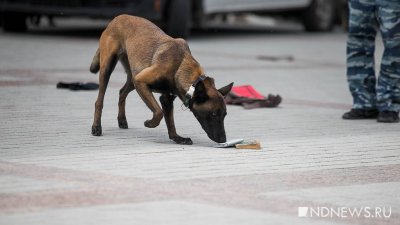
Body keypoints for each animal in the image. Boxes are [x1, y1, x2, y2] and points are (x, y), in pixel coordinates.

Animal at [90, 14, 233, 144]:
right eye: (213, 114)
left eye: (225, 114)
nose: (223, 139)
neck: (180, 65)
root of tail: (118, 18)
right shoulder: (141, 82)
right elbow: (159, 112)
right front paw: (150, 123)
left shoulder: (165, 98)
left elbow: (170, 121)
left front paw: (176, 138)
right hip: (109, 69)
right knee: (99, 101)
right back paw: (96, 126)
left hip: (133, 76)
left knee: (121, 92)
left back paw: (122, 119)